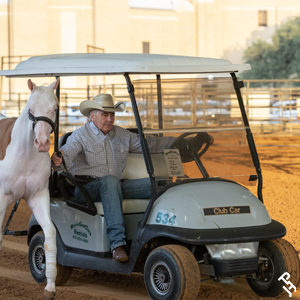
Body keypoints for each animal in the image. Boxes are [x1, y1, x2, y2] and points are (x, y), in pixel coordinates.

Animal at [0, 78, 59, 300]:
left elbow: (49, 235)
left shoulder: (38, 197)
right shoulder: (1, 199)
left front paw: (50, 286)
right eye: (30, 109)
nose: (41, 143)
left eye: (54, 108)